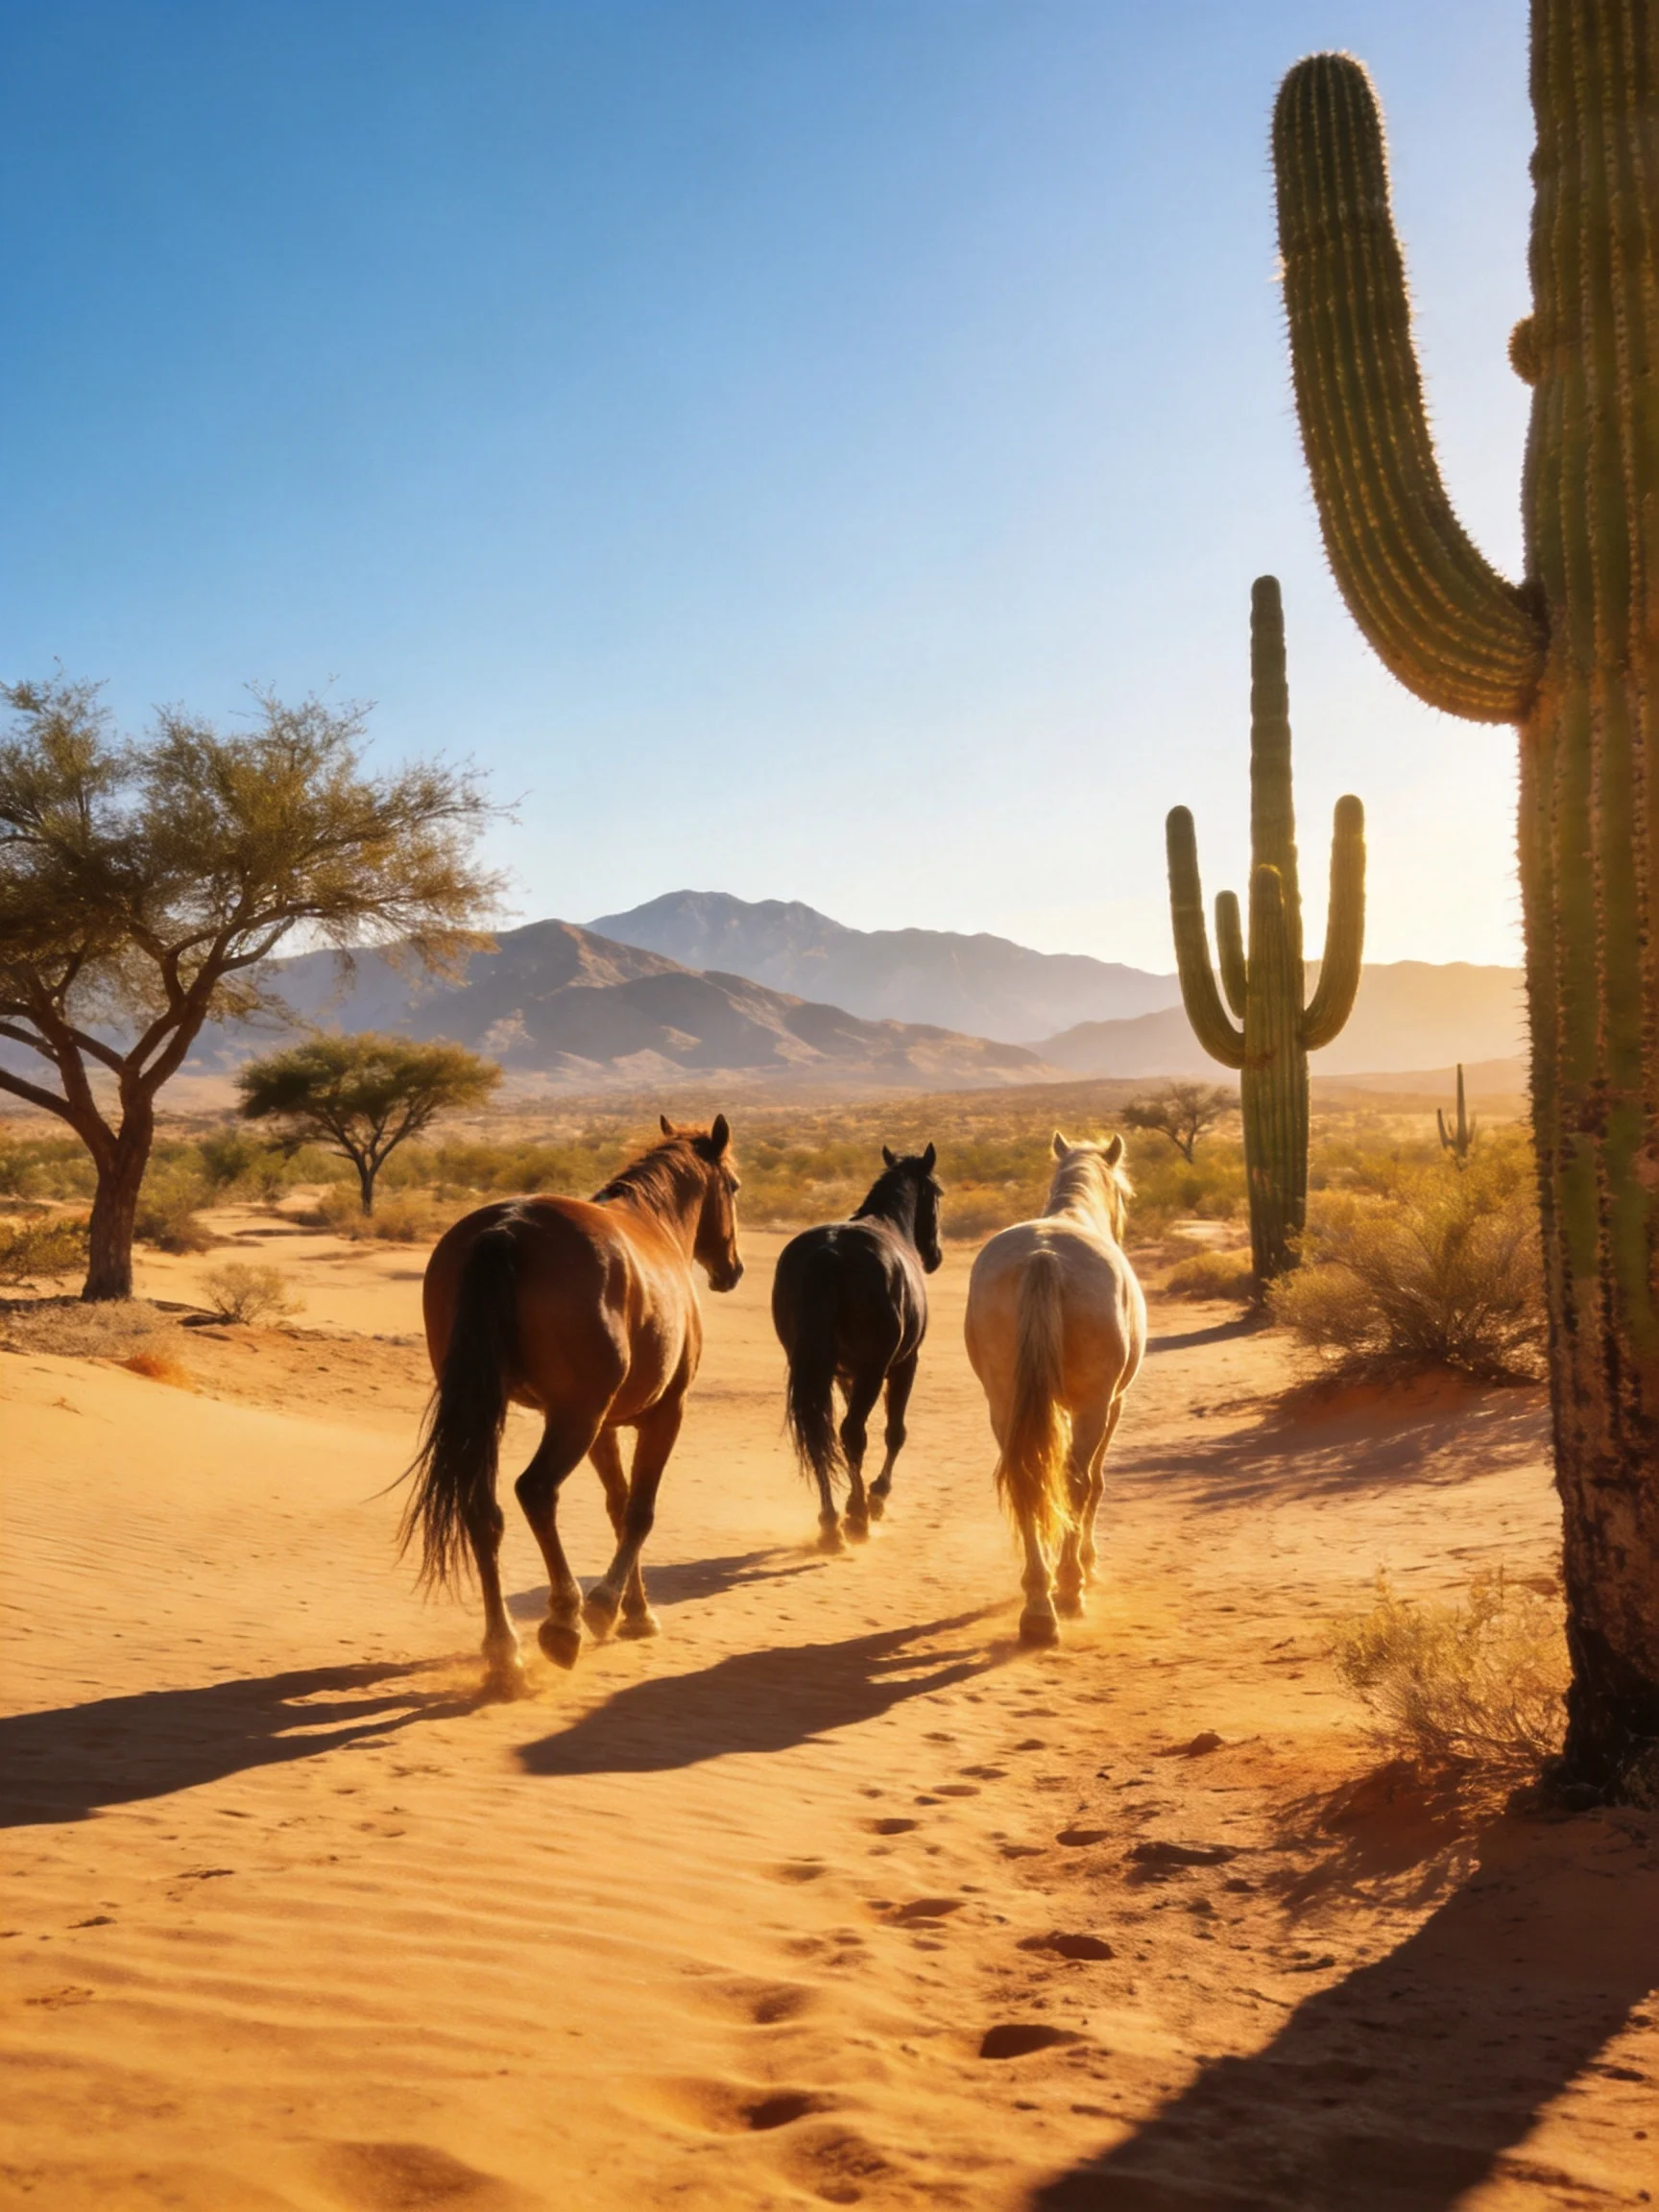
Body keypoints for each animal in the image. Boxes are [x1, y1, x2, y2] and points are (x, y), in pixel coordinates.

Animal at [401, 1114, 742, 1692]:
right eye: (735, 1187)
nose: (732, 1270)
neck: (655, 1223)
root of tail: (505, 1230)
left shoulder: (605, 1426)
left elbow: (617, 1507)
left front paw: (635, 1611)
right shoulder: (663, 1414)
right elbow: (639, 1512)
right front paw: (611, 1608)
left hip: (496, 1411)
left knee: (482, 1511)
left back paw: (504, 1651)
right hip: (572, 1419)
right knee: (536, 1491)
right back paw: (564, 1622)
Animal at [771, 1144, 942, 1552]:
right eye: (938, 1194)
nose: (935, 1255)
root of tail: (828, 1255)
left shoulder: (845, 1374)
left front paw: (855, 1500)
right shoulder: (902, 1365)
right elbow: (894, 1432)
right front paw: (875, 1498)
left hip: (816, 1370)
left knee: (822, 1435)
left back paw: (831, 1522)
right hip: (875, 1370)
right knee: (851, 1433)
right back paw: (858, 1519)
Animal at [963, 1131, 1145, 1647]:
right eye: (1126, 1194)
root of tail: (1042, 1256)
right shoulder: (1113, 1403)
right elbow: (1094, 1482)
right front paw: (1087, 1561)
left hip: (1004, 1403)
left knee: (1027, 1478)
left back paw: (1038, 1604)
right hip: (1093, 1405)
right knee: (1078, 1481)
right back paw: (1067, 1588)